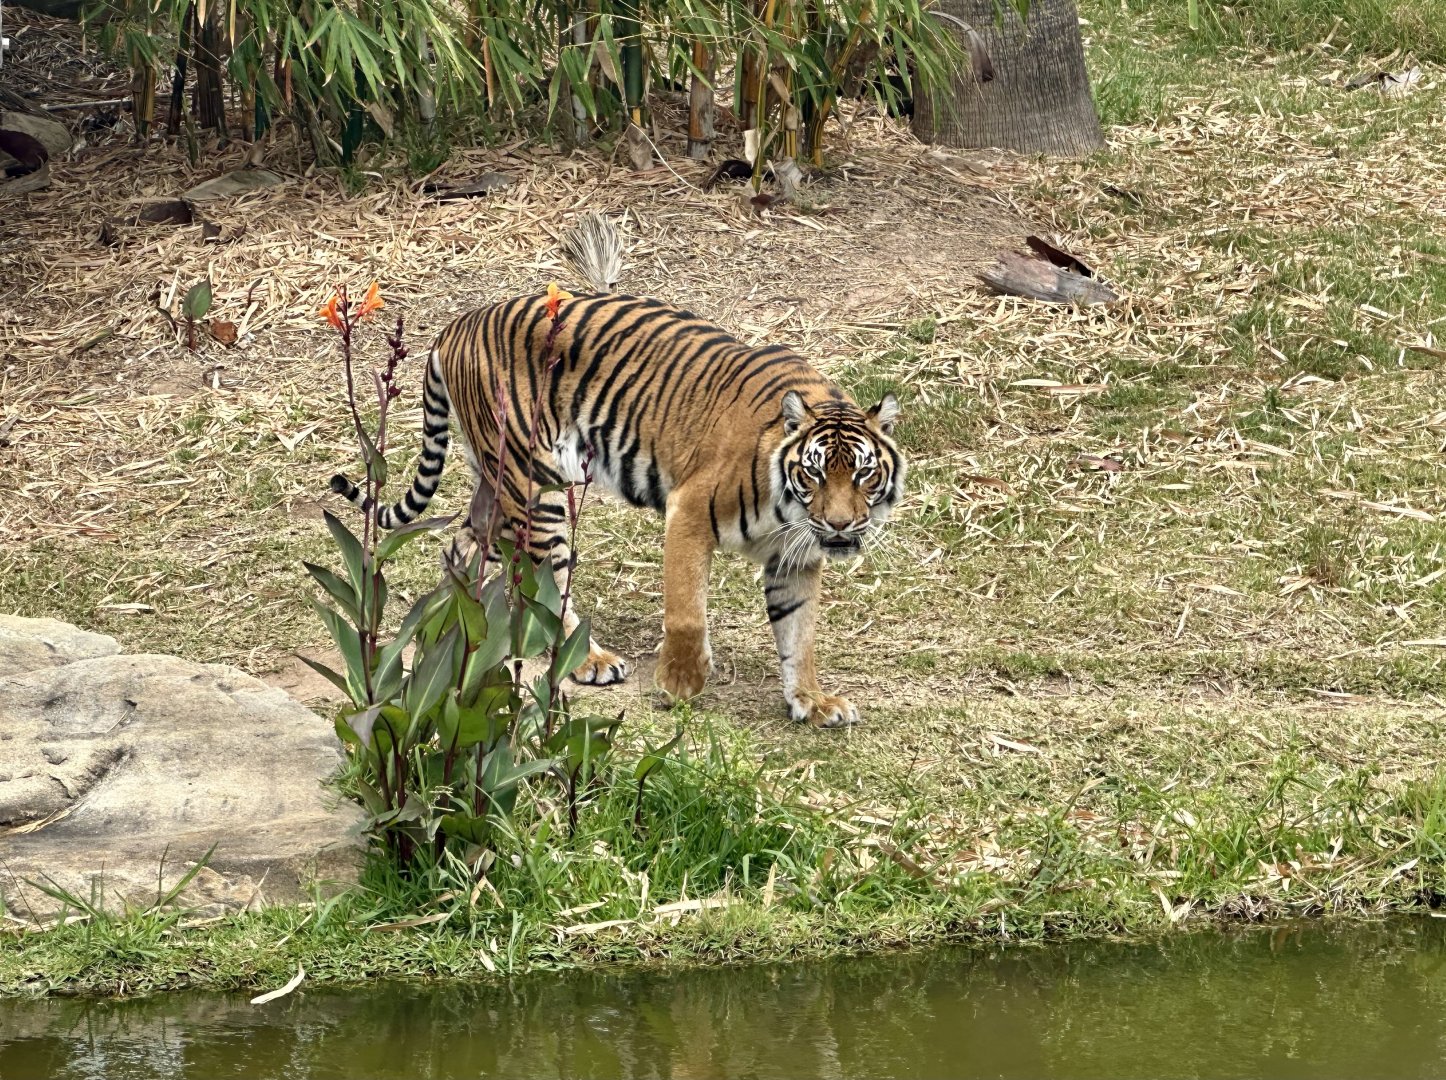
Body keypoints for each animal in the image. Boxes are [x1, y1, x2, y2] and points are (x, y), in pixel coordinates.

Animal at [331, 213, 905, 728]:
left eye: (863, 474)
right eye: (813, 473)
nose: (839, 526)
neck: (791, 513)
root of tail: (456, 325)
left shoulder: (795, 557)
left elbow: (799, 633)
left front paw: (812, 700)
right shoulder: (688, 512)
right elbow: (686, 611)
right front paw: (680, 685)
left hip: (497, 483)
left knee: (462, 544)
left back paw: (458, 621)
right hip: (535, 485)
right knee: (546, 582)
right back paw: (588, 659)